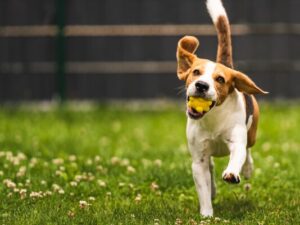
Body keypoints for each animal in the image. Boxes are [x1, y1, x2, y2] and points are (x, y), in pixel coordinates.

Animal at [176, 0, 268, 218]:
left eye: (220, 79)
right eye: (195, 72)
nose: (201, 85)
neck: (213, 119)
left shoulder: (236, 142)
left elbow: (238, 155)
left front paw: (233, 173)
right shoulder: (198, 160)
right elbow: (203, 187)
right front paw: (207, 215)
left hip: (251, 134)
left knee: (248, 150)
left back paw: (247, 169)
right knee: (210, 168)